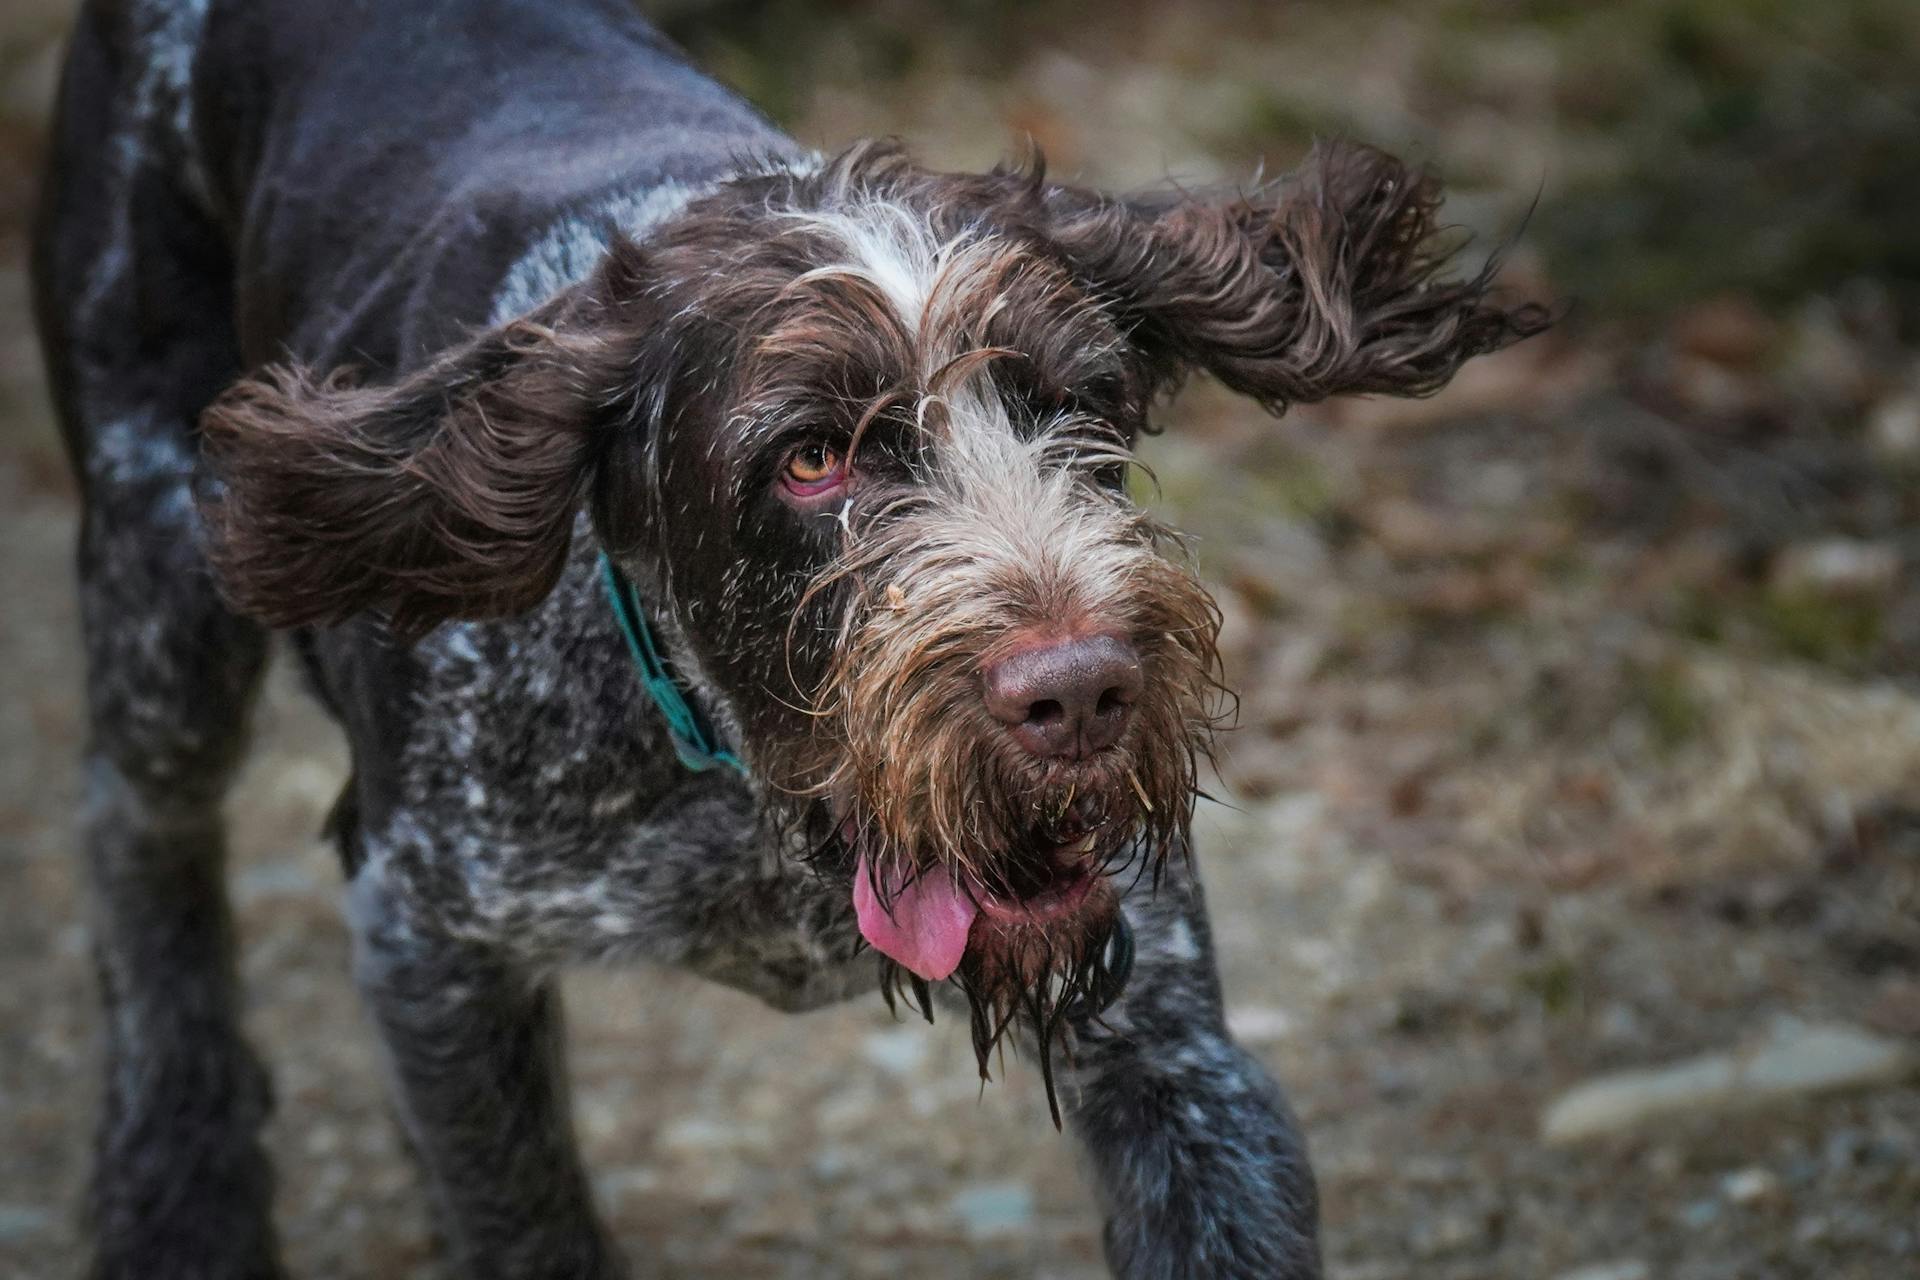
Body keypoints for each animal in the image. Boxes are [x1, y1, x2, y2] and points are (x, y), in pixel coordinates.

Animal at [30, 0, 1543, 1274]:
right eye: (811, 459)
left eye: (1076, 404)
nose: (1082, 695)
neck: (756, 797)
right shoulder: (427, 938)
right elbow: (523, 1215)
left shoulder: (1176, 1047)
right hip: (161, 567)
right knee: (135, 833)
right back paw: (177, 1186)